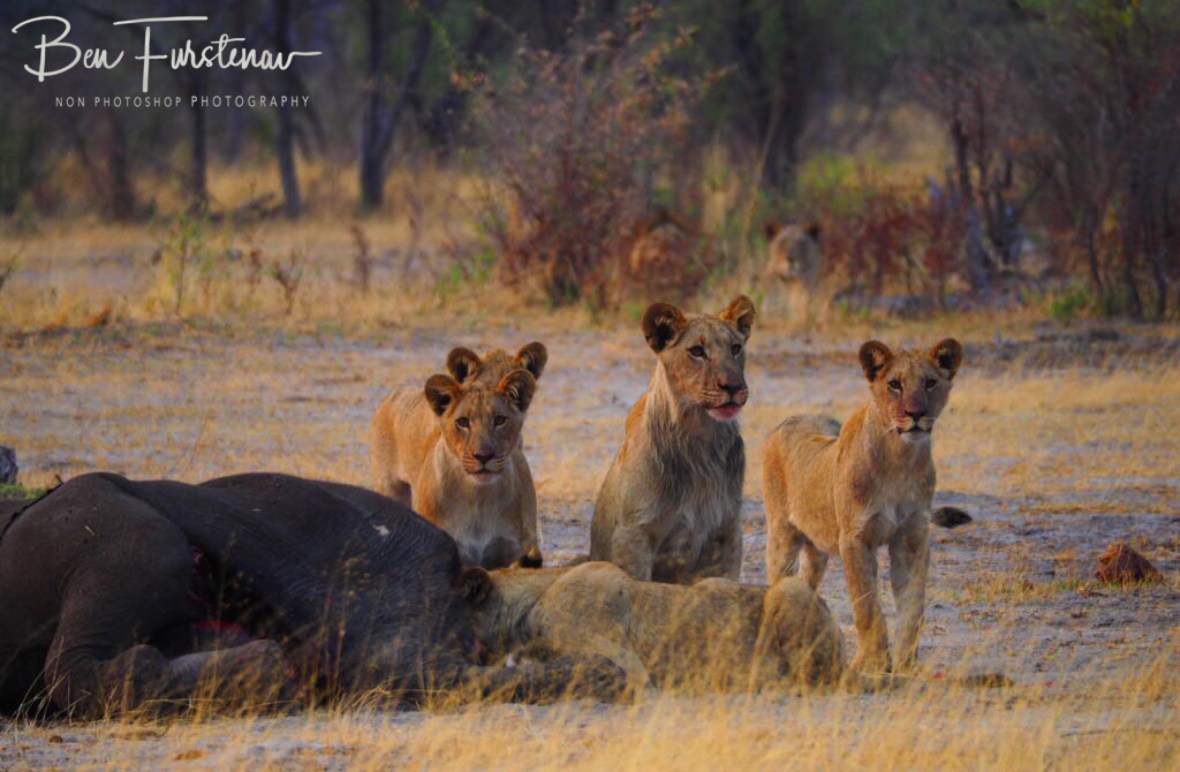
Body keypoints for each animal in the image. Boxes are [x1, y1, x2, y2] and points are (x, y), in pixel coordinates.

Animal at [370, 343, 547, 569]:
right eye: (463, 422)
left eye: (500, 419)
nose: (484, 456)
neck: (478, 498)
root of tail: (398, 390)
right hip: (390, 486)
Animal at [590, 296, 756, 583]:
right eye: (697, 351)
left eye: (735, 348)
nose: (734, 386)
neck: (701, 436)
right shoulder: (633, 534)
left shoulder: (727, 533)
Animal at [762, 339, 965, 674]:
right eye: (894, 384)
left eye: (930, 383)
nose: (916, 413)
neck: (900, 460)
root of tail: (791, 418)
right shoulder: (855, 539)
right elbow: (867, 605)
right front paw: (872, 662)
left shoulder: (911, 539)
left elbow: (913, 606)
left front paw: (906, 664)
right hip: (781, 534)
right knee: (780, 580)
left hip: (816, 548)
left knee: (806, 582)